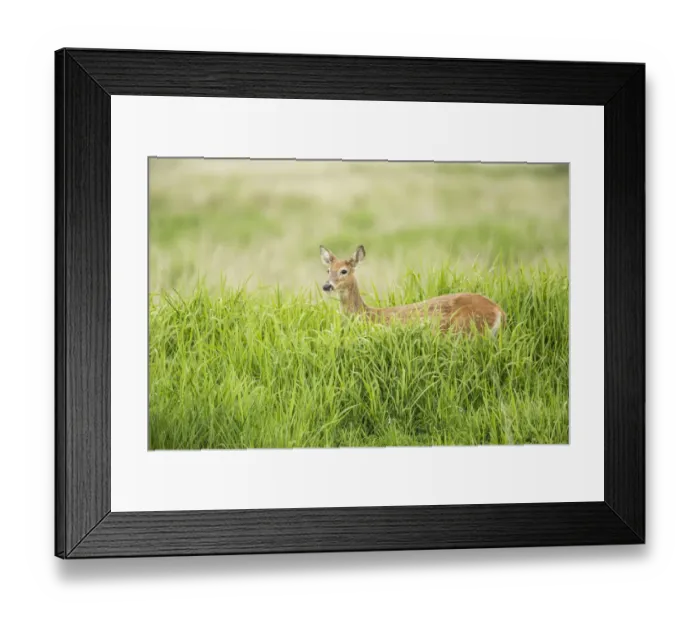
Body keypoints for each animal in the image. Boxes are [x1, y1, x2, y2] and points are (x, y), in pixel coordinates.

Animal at [320, 245, 506, 337]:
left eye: (344, 271)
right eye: (328, 270)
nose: (326, 286)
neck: (366, 315)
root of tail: (499, 311)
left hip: (467, 329)